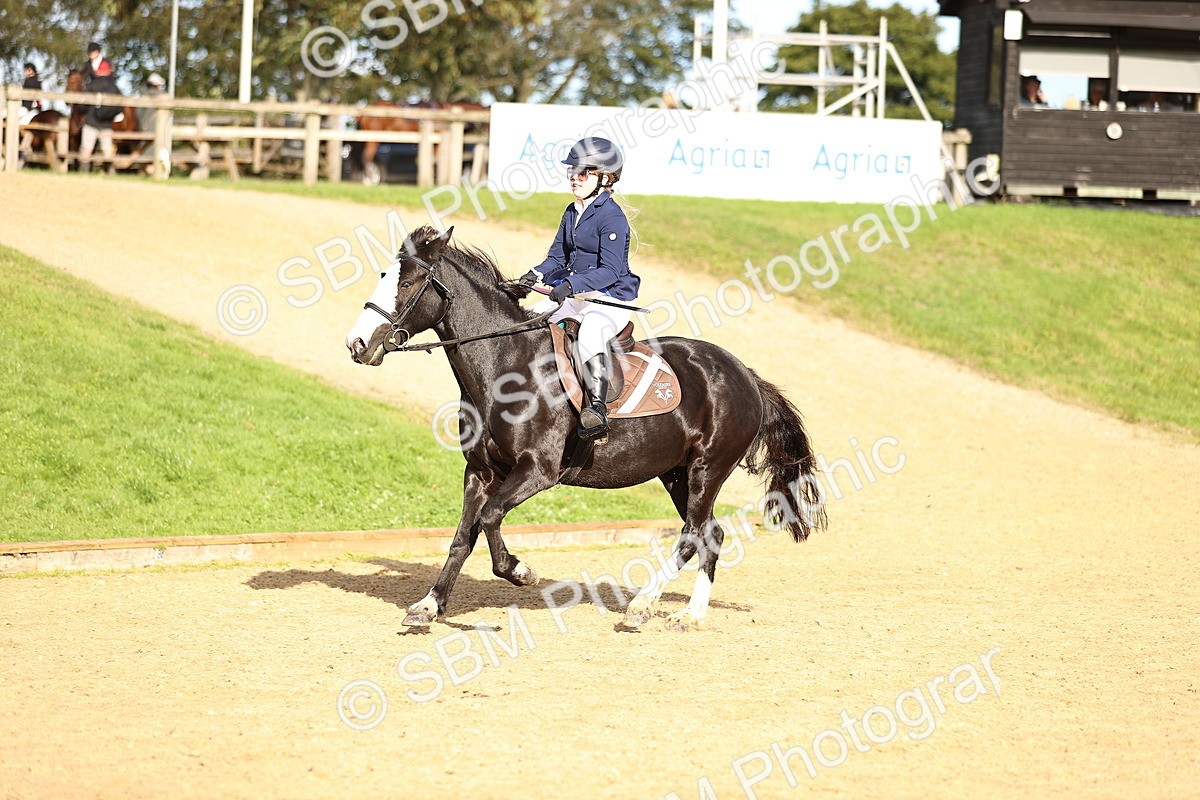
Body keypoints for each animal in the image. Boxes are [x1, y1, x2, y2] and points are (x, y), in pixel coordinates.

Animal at [344, 226, 827, 631]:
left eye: (407, 284)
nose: (357, 344)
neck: (507, 367)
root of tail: (744, 374)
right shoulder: (479, 472)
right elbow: (463, 537)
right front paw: (429, 606)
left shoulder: (537, 471)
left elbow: (490, 518)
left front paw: (520, 571)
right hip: (677, 476)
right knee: (711, 532)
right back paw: (690, 614)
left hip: (707, 469)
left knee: (692, 535)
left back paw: (642, 606)